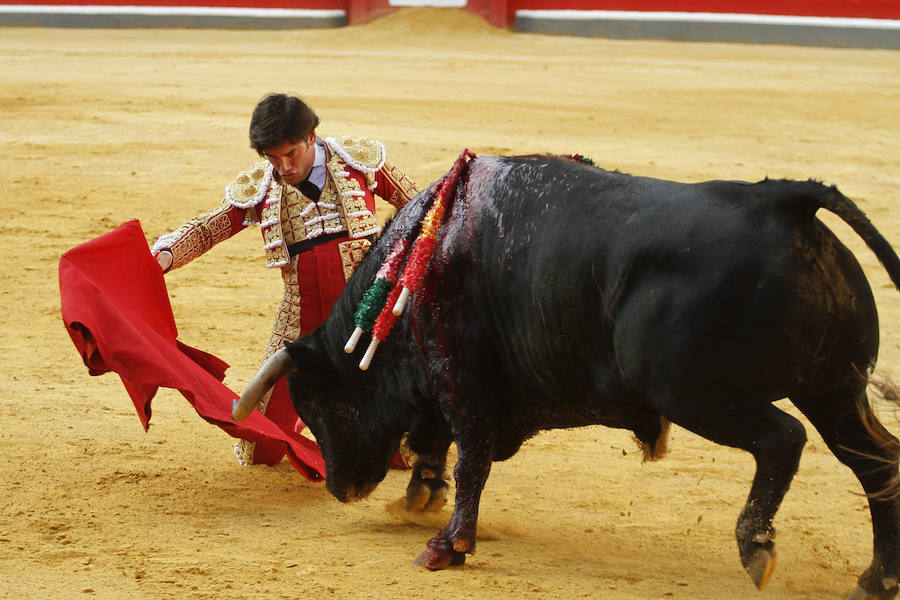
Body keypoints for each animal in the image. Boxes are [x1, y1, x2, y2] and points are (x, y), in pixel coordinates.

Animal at [232, 152, 900, 596]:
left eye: (318, 406)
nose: (339, 489)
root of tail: (783, 200)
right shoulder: (451, 386)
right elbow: (437, 442)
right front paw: (421, 493)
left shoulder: (464, 379)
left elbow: (469, 456)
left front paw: (447, 545)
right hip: (833, 389)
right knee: (877, 462)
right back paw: (877, 577)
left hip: (692, 390)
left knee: (782, 440)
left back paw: (756, 548)